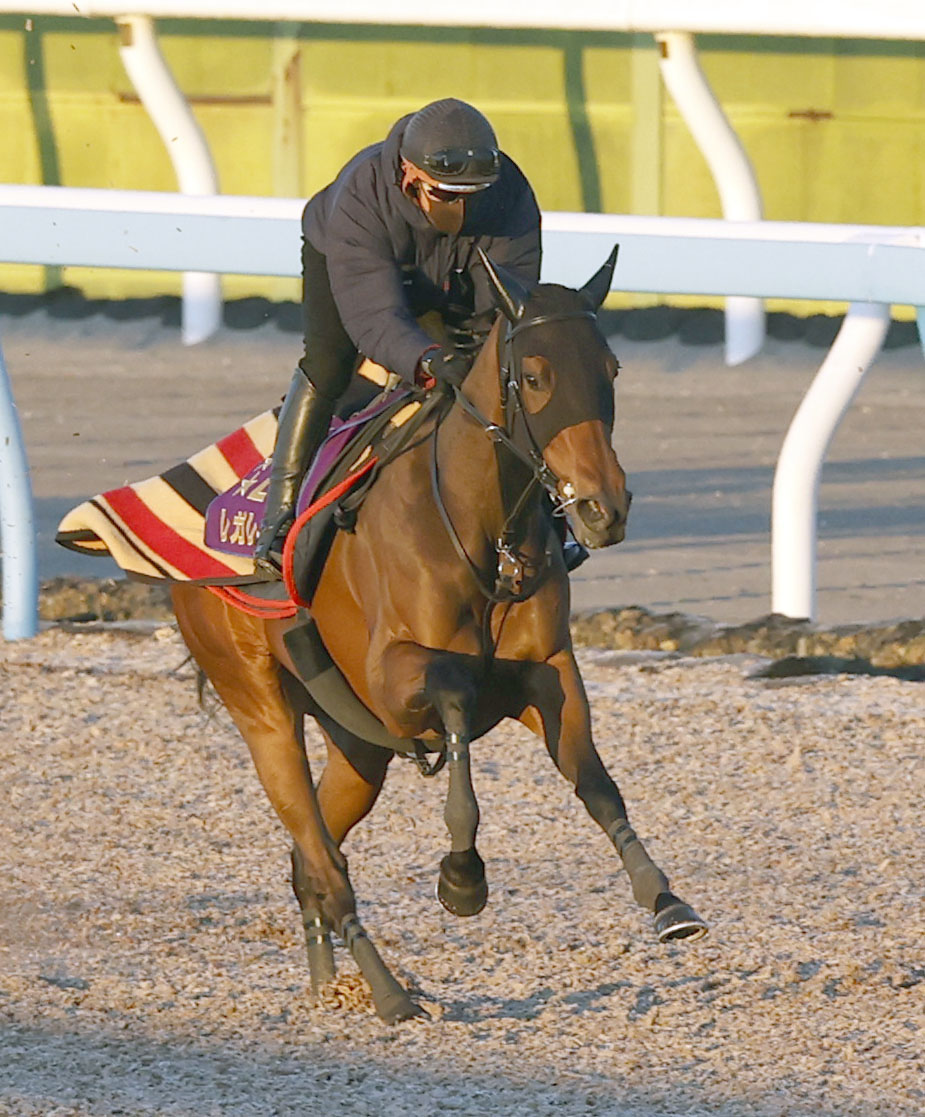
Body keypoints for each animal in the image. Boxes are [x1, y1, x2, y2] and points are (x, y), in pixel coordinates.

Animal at [170, 249, 707, 1024]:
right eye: (535, 375)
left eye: (609, 368)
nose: (603, 508)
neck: (483, 528)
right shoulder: (397, 678)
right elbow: (454, 702)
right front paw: (462, 876)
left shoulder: (547, 668)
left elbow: (595, 781)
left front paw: (665, 897)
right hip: (262, 710)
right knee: (323, 860)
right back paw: (390, 993)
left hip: (356, 748)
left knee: (309, 863)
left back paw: (329, 985)